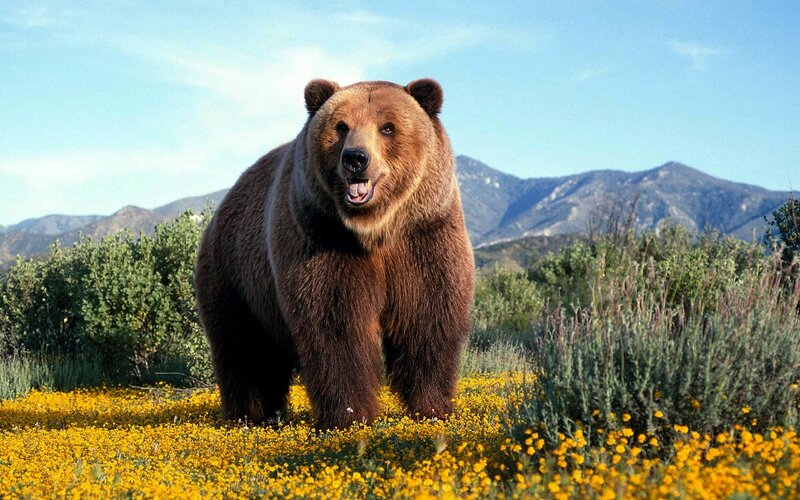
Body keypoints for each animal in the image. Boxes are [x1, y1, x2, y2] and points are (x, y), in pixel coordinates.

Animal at [194, 78, 474, 430]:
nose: (355, 158)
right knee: (245, 350)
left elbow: (427, 316)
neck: (375, 229)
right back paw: (250, 415)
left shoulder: (424, 236)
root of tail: (221, 207)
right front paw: (349, 415)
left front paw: (433, 408)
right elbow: (336, 325)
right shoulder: (323, 238)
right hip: (235, 276)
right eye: (341, 126)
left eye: (388, 127)